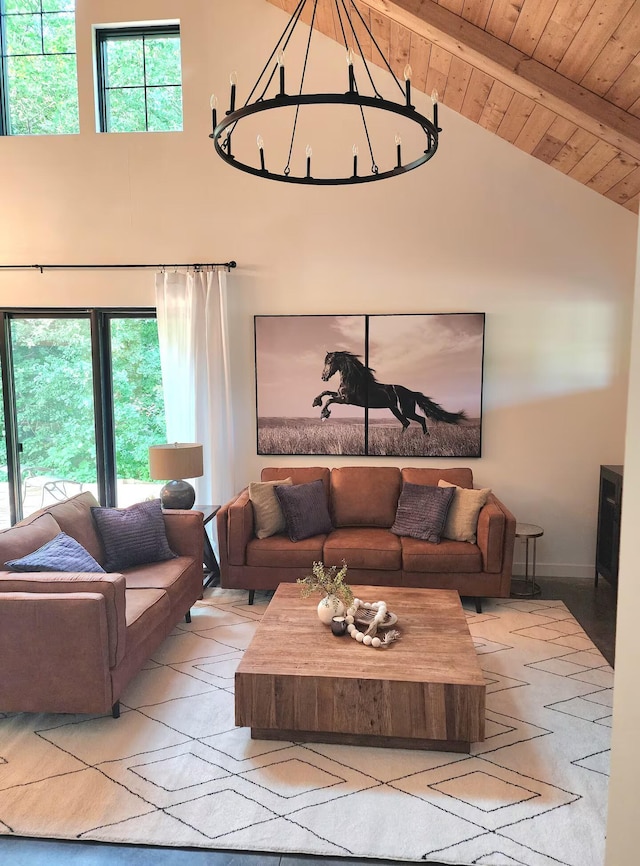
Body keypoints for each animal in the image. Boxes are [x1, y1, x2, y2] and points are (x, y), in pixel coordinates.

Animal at [312, 350, 468, 436]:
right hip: (397, 409)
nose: (323, 377)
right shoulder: (340, 395)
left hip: (404, 410)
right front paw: (315, 402)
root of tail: (412, 392)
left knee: (415, 420)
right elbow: (326, 392)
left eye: (330, 362)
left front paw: (324, 414)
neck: (354, 379)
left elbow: (329, 400)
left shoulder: (346, 399)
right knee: (410, 422)